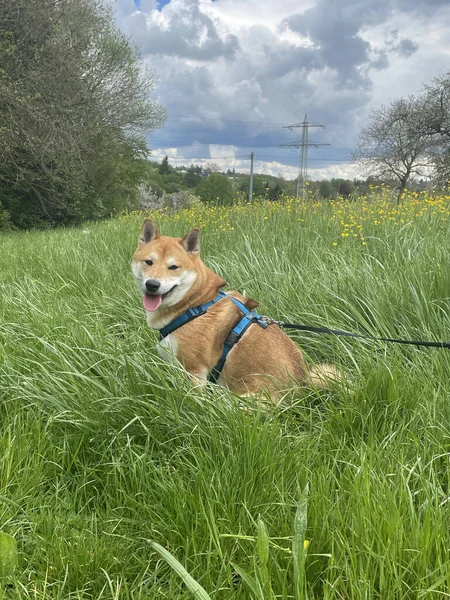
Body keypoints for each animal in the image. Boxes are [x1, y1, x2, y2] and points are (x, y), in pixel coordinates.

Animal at [132, 220, 340, 398]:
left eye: (173, 267)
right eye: (148, 262)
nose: (152, 285)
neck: (194, 304)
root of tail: (302, 388)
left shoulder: (194, 373)